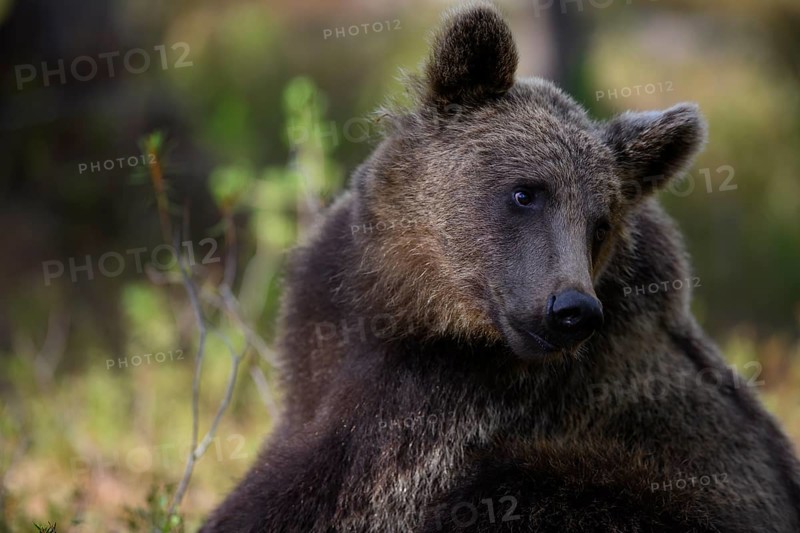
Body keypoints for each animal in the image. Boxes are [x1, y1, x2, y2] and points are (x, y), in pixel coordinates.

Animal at [201, 3, 800, 532]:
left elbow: (331, 488)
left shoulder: (454, 403)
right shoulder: (323, 328)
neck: (408, 302)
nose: (572, 310)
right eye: (525, 192)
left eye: (599, 224)